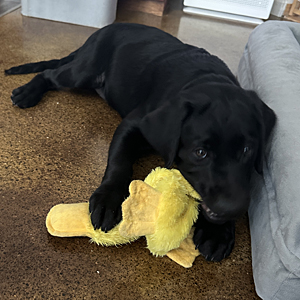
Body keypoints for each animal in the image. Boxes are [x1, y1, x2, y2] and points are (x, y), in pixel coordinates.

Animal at [5, 23, 276, 262]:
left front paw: (217, 233)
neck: (204, 80)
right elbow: (119, 163)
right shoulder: (132, 125)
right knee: (49, 74)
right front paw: (109, 199)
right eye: (200, 152)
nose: (232, 209)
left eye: (247, 150)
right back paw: (27, 93)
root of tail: (104, 29)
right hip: (82, 73)